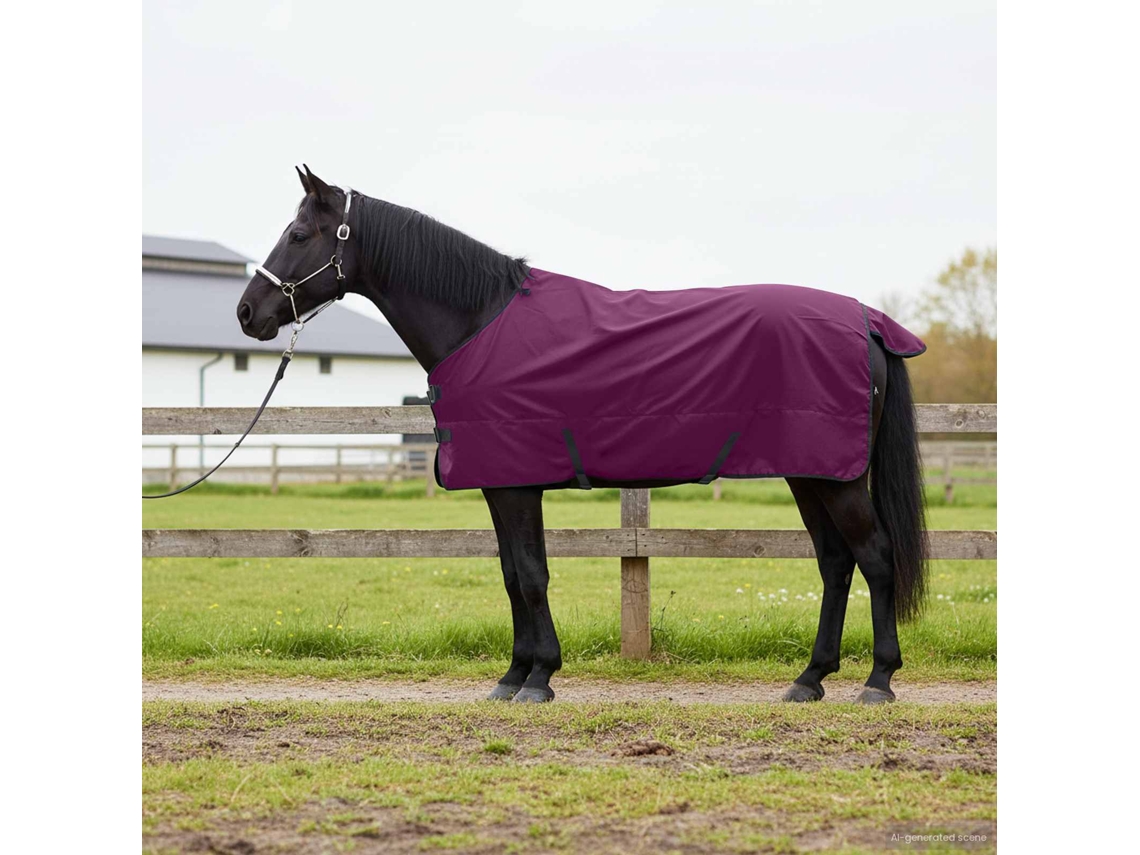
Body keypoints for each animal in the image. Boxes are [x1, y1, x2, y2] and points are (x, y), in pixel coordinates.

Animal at [236, 166, 928, 705]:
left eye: (298, 235)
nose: (248, 313)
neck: (479, 321)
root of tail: (866, 321)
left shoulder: (517, 485)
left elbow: (531, 575)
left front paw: (538, 677)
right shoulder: (501, 484)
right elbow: (513, 574)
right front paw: (514, 675)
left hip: (834, 479)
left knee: (875, 556)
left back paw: (878, 680)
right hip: (810, 473)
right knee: (835, 562)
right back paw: (810, 679)